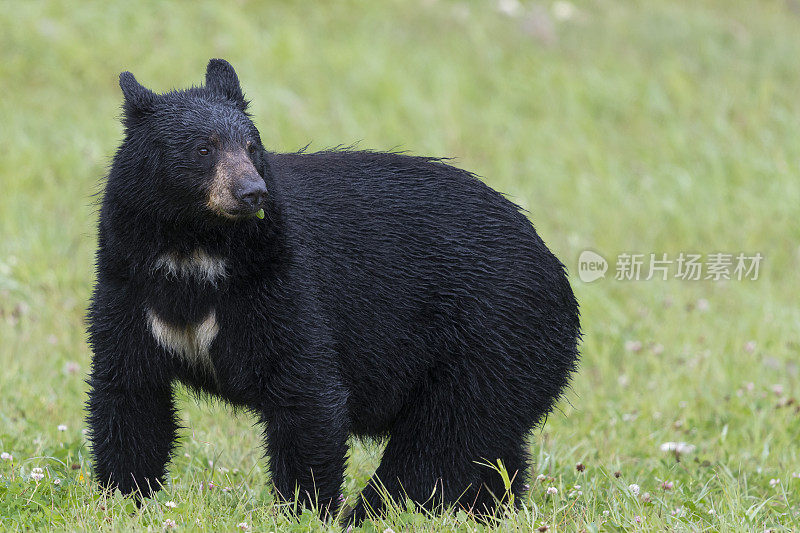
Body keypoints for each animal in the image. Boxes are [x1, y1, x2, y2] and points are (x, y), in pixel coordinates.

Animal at [84, 58, 580, 524]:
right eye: (203, 148)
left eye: (252, 147)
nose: (252, 192)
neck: (193, 251)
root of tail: (557, 274)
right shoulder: (127, 283)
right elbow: (130, 394)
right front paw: (123, 500)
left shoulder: (279, 282)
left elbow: (306, 392)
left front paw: (302, 510)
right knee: (489, 450)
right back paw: (490, 509)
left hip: (493, 341)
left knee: (440, 445)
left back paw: (371, 514)